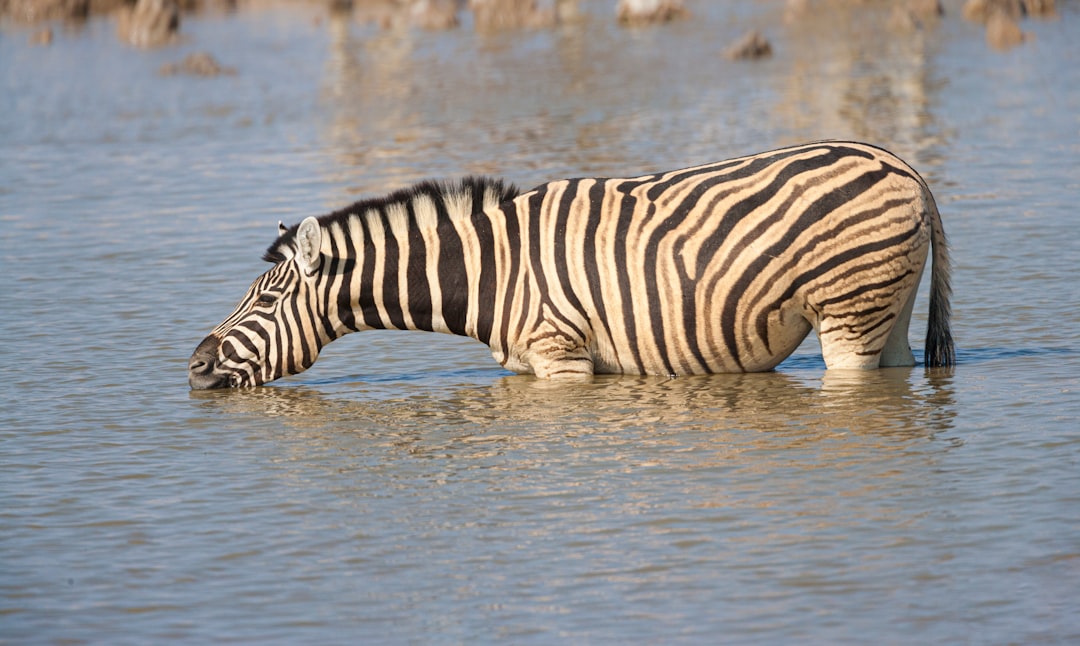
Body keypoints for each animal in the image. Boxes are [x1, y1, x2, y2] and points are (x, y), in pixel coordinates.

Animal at [185, 141, 954, 388]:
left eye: (262, 301)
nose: (191, 368)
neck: (492, 270)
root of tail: (903, 166)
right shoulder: (532, 365)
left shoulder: (562, 358)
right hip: (887, 310)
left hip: (849, 314)